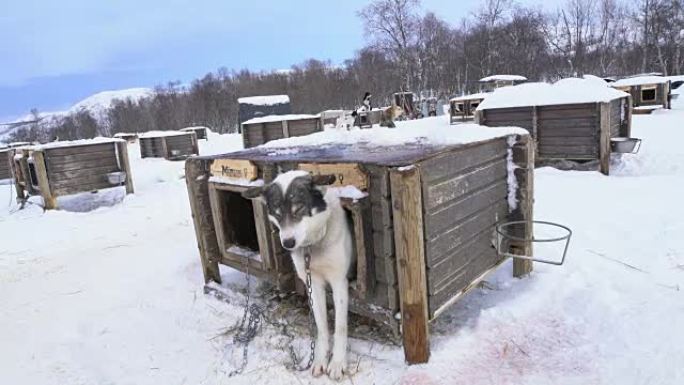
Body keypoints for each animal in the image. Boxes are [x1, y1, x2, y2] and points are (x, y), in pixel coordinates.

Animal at [243, 172, 352, 380]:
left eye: (299, 209)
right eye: (277, 214)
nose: (288, 243)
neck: (314, 244)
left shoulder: (339, 282)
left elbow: (341, 327)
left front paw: (337, 363)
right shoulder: (313, 284)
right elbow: (321, 327)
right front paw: (320, 359)